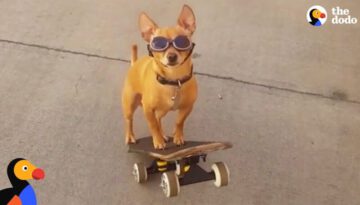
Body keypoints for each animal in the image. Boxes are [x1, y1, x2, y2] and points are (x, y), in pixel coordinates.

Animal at [123, 4, 197, 149]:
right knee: (129, 120)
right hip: (129, 105)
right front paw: (157, 141)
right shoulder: (148, 109)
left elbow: (179, 121)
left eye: (182, 42)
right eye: (158, 45)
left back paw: (163, 135)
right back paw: (130, 136)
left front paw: (178, 136)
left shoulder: (187, 107)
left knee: (158, 119)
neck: (173, 80)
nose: (171, 56)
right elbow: (153, 126)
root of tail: (134, 64)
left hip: (163, 109)